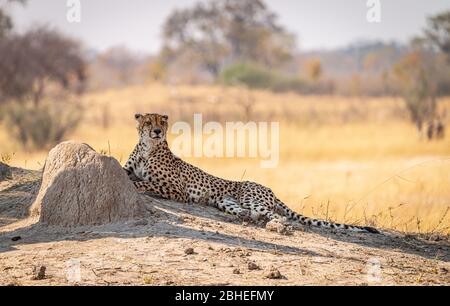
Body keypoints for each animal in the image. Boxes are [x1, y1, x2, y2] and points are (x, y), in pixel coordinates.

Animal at [124, 113, 380, 234]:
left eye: (161, 123)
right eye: (148, 122)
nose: (157, 131)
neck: (148, 147)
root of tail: (269, 189)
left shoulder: (177, 191)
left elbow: (148, 184)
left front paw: (137, 186)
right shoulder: (129, 168)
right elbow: (128, 173)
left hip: (250, 197)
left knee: (280, 216)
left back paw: (277, 226)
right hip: (227, 202)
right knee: (251, 212)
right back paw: (249, 218)